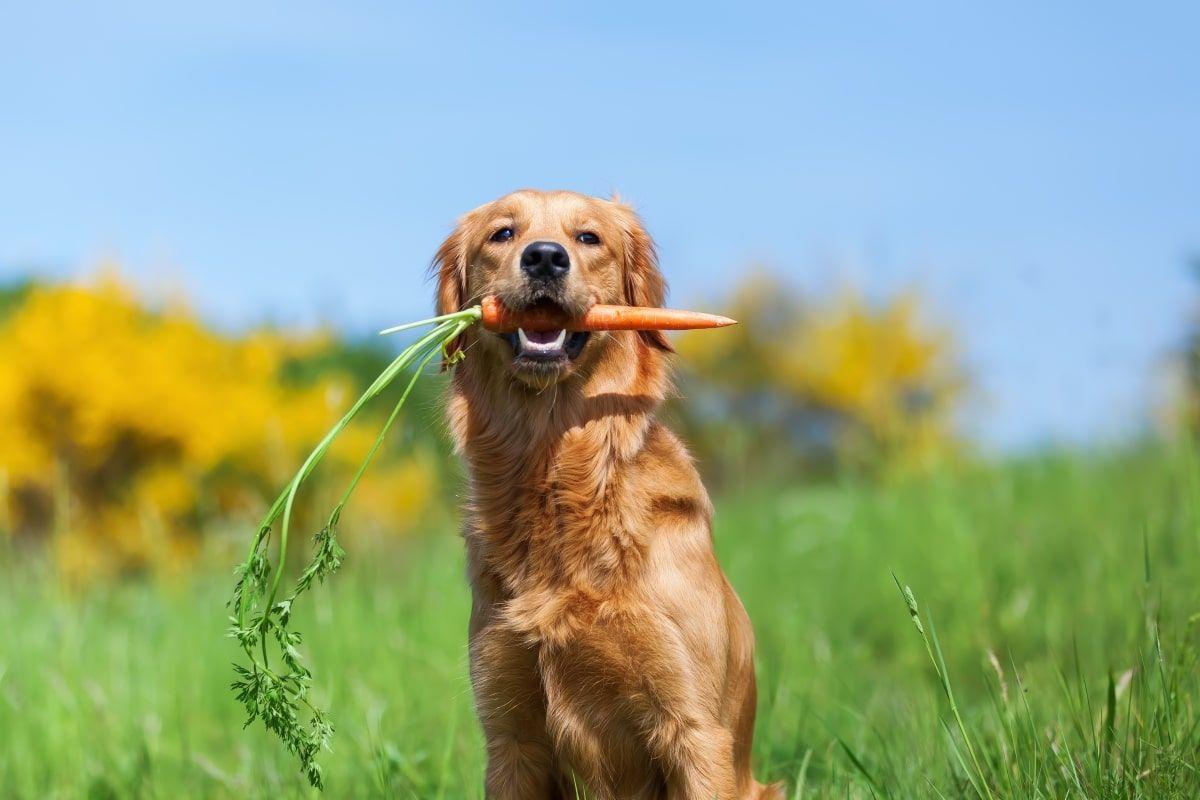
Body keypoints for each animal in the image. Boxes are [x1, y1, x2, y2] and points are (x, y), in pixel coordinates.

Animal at [432, 190, 777, 796]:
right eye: (502, 233)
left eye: (589, 237)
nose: (545, 258)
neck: (554, 473)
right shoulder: (511, 733)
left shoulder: (694, 729)